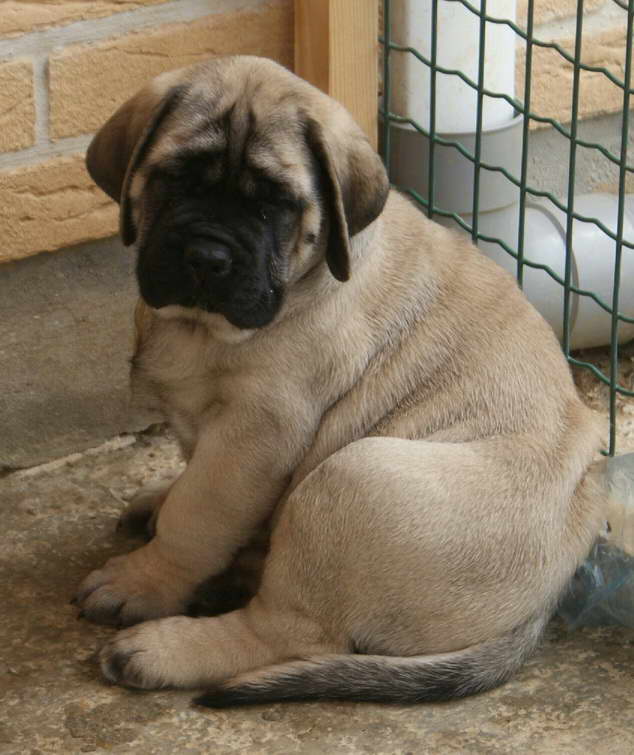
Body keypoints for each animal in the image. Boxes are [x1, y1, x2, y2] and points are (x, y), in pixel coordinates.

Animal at [76, 54, 604, 708]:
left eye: (275, 205)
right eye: (174, 179)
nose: (207, 256)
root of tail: (550, 591)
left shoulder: (255, 433)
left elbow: (197, 516)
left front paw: (143, 580)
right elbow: (193, 486)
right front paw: (163, 500)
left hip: (351, 479)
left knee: (286, 632)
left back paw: (163, 649)